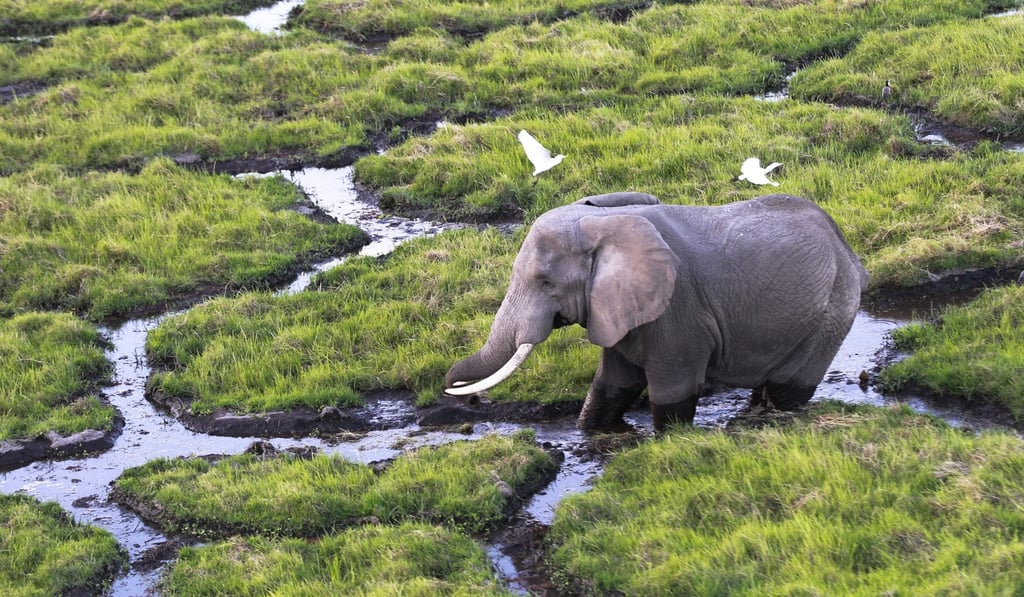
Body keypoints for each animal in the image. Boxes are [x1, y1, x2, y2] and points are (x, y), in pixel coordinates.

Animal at [445, 192, 869, 432]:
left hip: (832, 312)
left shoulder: (678, 309)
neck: (601, 224)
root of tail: (848, 250)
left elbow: (672, 391)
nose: (462, 396)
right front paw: (593, 431)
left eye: (546, 283)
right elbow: (613, 384)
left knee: (788, 389)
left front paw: (671, 441)